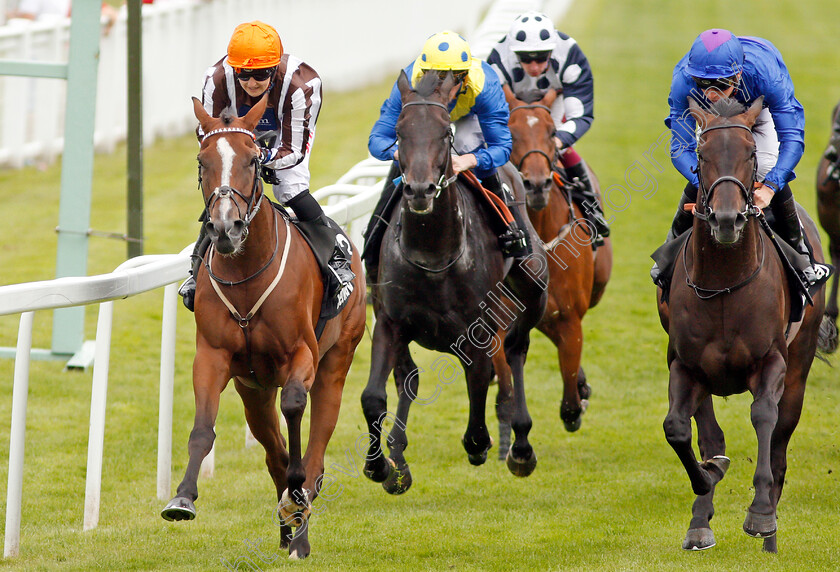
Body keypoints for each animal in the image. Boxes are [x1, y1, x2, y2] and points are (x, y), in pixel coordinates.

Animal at [161, 95, 364, 560]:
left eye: (254, 160)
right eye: (202, 161)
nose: (225, 227)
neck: (247, 273)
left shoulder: (302, 355)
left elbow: (294, 407)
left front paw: (297, 494)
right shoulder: (213, 357)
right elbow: (203, 428)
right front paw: (182, 497)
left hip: (337, 361)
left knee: (316, 451)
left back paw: (300, 528)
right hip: (252, 389)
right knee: (273, 453)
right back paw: (288, 525)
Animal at [656, 96, 828, 552]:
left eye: (750, 154)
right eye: (701, 155)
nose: (727, 220)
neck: (724, 283)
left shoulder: (772, 362)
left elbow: (764, 416)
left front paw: (761, 515)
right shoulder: (685, 365)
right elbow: (677, 429)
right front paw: (709, 475)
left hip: (799, 369)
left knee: (781, 445)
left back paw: (770, 533)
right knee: (708, 434)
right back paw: (700, 519)